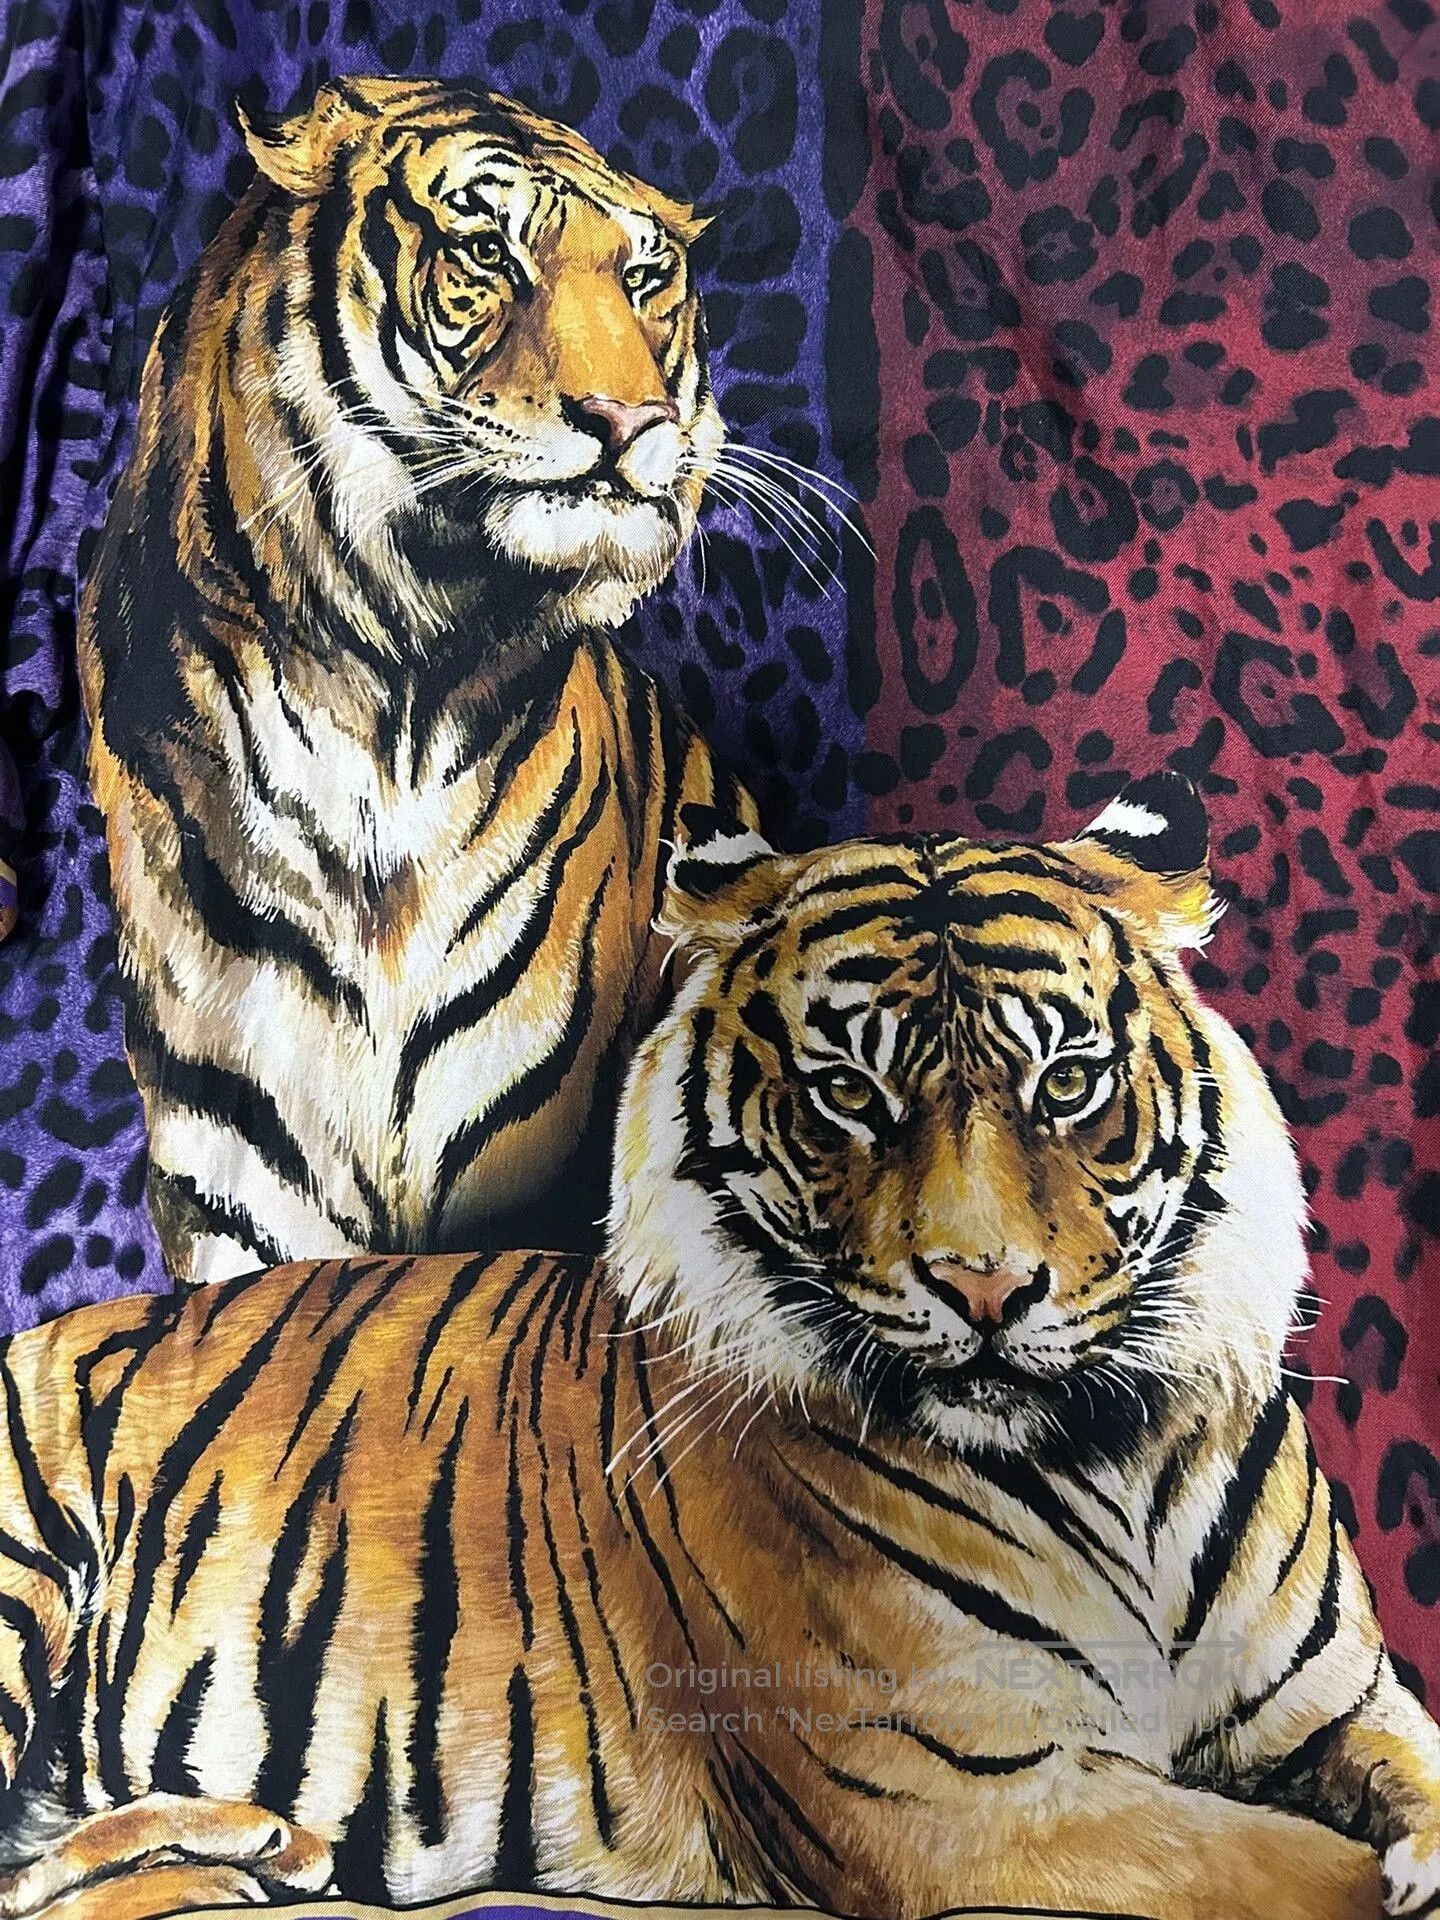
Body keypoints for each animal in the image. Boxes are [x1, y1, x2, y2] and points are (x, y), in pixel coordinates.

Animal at [0, 774, 1436, 1920]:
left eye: (1066, 1084)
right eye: (848, 1094)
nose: (985, 1289)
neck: (1109, 1457)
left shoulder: (1345, 1707)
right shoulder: (968, 1796)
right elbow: (1304, 1875)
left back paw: (256, 1846)